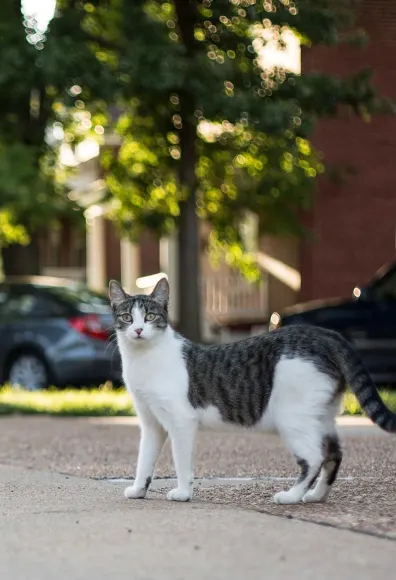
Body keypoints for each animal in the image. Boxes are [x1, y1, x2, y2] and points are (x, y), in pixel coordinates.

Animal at [109, 276, 396, 502]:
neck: (143, 359)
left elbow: (181, 461)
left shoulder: (181, 420)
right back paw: (315, 496)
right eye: (126, 317)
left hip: (292, 417)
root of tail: (326, 335)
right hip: (322, 414)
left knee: (314, 458)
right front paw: (138, 490)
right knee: (333, 455)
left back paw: (292, 496)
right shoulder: (151, 423)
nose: (138, 329)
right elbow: (144, 459)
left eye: (150, 317)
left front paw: (182, 493)